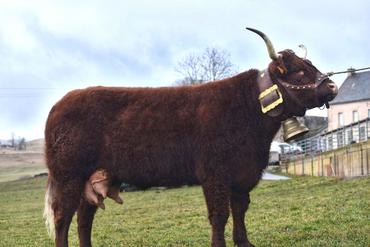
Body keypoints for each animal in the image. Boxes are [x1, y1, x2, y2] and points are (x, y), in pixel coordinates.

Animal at [43, 28, 338, 246]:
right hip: (68, 177)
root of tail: (60, 103)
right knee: (62, 219)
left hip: (91, 180)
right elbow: (219, 215)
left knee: (84, 219)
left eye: (310, 65)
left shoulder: (243, 175)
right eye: (300, 72)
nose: (333, 86)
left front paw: (244, 243)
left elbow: (240, 210)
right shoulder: (215, 173)